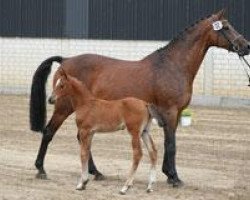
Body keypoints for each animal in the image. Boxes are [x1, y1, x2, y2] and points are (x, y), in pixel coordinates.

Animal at [30, 9, 249, 188]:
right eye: (226, 27)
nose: (245, 46)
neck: (171, 66)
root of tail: (66, 60)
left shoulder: (176, 114)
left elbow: (170, 142)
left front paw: (168, 174)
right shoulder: (169, 112)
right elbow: (171, 145)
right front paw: (174, 178)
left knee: (82, 138)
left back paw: (96, 172)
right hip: (63, 107)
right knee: (48, 132)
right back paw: (41, 169)